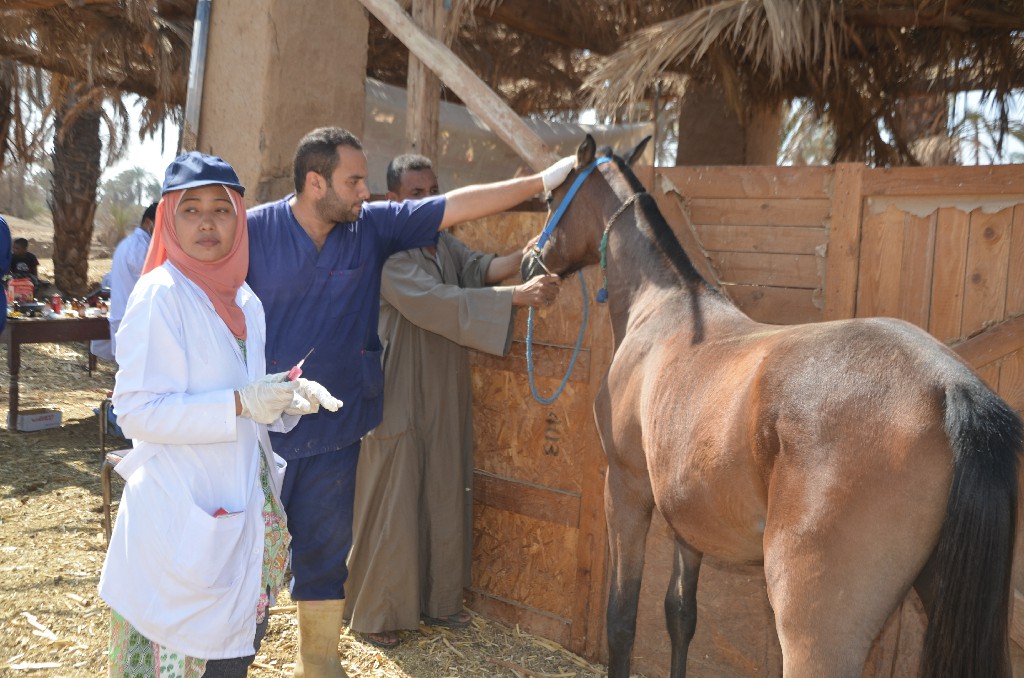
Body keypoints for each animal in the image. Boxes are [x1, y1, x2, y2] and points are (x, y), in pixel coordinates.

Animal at [524, 134, 1019, 678]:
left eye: (550, 198)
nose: (529, 261)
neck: (662, 310)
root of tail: (951, 384)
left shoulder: (627, 489)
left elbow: (621, 618)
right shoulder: (688, 521)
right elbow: (680, 614)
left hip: (811, 625)